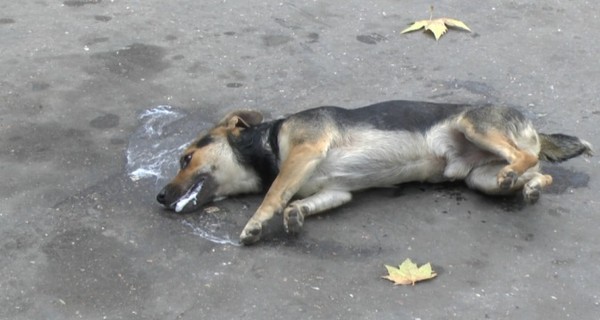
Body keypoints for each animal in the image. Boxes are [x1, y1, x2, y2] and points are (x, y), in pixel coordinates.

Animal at [155, 100, 592, 245]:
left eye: (186, 158)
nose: (159, 197)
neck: (269, 144)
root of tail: (534, 127)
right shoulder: (335, 190)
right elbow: (298, 202)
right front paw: (294, 216)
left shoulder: (306, 149)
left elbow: (273, 193)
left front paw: (256, 223)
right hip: (478, 177)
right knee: (538, 174)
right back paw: (526, 187)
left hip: (475, 126)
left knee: (527, 158)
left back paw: (521, 175)